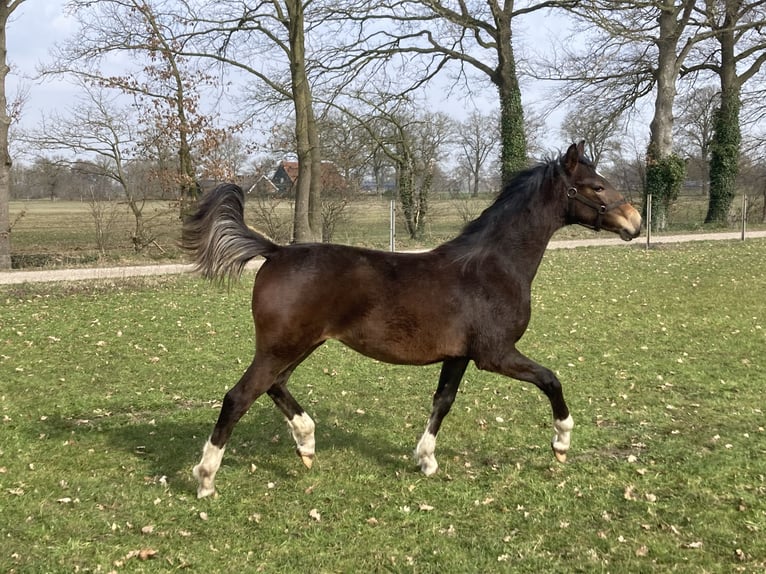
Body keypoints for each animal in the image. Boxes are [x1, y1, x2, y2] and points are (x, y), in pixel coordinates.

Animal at [182, 141, 642, 498]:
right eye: (596, 185)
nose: (634, 222)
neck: (493, 267)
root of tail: (275, 251)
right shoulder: (495, 353)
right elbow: (550, 379)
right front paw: (561, 441)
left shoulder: (459, 355)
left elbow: (443, 401)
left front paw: (426, 460)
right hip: (282, 347)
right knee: (239, 397)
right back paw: (206, 479)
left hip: (301, 345)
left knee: (275, 386)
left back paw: (307, 444)